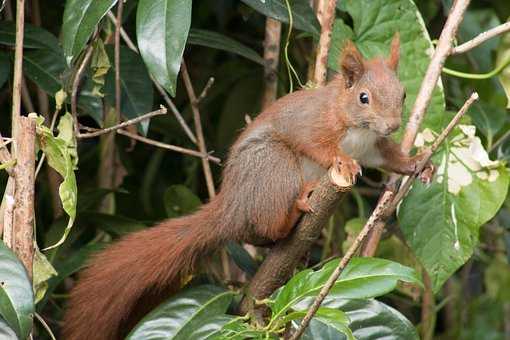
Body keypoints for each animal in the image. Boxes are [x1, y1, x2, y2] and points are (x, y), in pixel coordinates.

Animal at [61, 33, 424, 338]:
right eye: (364, 98)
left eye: (404, 93)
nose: (393, 125)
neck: (357, 129)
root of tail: (231, 205)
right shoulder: (312, 123)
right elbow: (316, 145)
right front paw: (344, 162)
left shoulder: (373, 147)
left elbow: (389, 157)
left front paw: (417, 163)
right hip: (273, 164)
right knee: (269, 222)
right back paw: (296, 209)